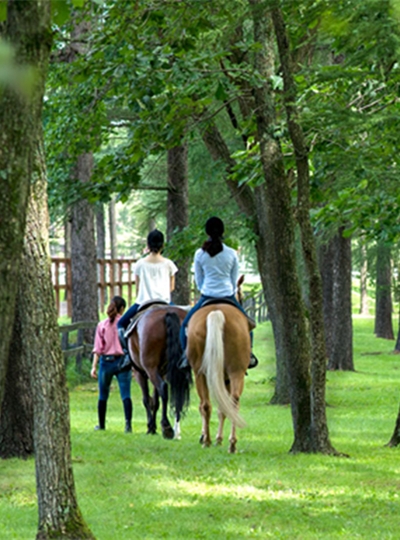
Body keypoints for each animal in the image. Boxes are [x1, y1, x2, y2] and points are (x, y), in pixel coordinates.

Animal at [127, 304, 191, 438]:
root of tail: (168, 312)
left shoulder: (140, 373)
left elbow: (147, 400)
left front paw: (150, 427)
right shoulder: (160, 371)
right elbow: (156, 402)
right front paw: (153, 427)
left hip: (150, 370)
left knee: (163, 387)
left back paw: (166, 426)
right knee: (176, 391)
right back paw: (175, 429)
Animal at [187, 304, 250, 452]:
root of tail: (216, 312)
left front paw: (213, 438)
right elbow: (223, 409)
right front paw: (218, 439)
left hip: (200, 374)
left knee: (206, 405)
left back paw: (208, 441)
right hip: (235, 372)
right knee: (232, 402)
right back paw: (231, 443)